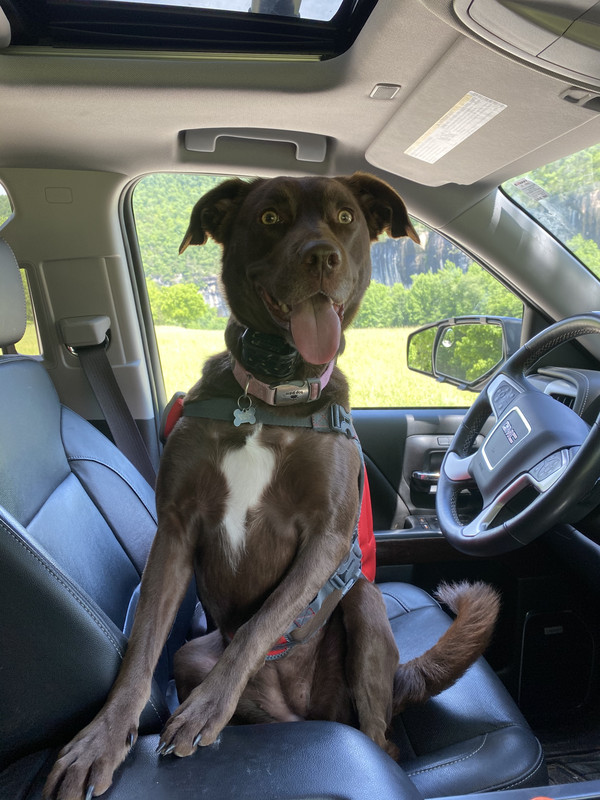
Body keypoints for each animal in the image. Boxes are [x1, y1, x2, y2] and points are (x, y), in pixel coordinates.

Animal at [45, 173, 499, 800]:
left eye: (344, 217)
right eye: (269, 218)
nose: (322, 256)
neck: (270, 398)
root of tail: (304, 708)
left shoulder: (326, 539)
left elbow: (261, 623)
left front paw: (205, 709)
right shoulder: (176, 529)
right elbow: (141, 649)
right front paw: (101, 740)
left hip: (364, 605)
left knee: (378, 734)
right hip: (193, 656)